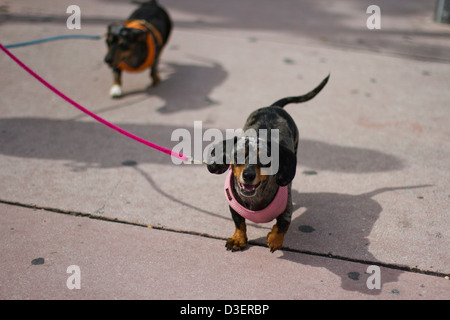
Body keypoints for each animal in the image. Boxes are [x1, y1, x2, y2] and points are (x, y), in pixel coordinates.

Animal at [208, 75, 330, 252]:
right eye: (238, 155)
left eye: (264, 160)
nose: (248, 175)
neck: (255, 199)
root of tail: (273, 107)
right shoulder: (234, 206)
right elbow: (239, 223)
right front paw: (238, 239)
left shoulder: (286, 208)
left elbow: (283, 223)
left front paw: (274, 238)